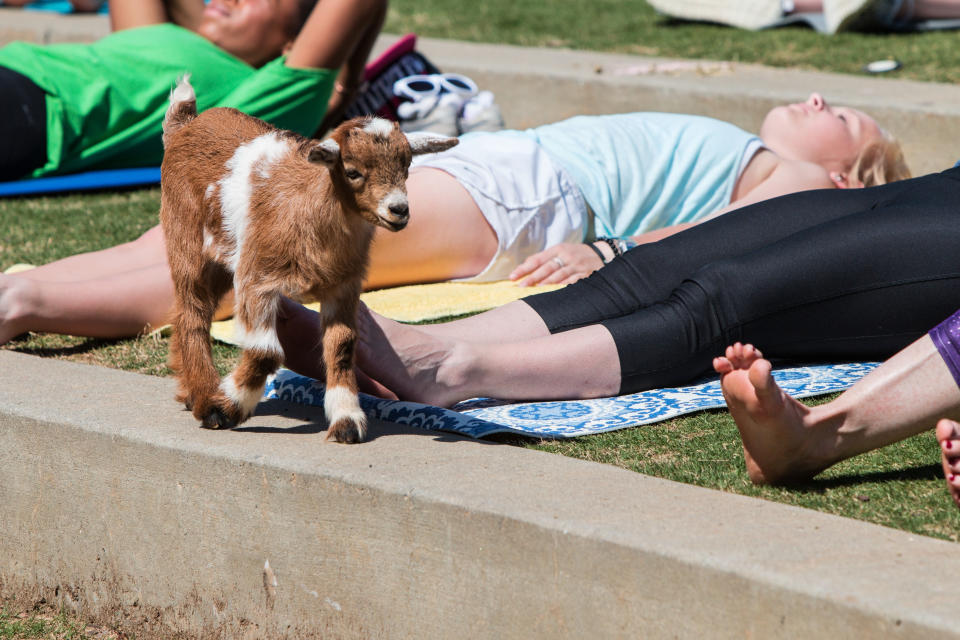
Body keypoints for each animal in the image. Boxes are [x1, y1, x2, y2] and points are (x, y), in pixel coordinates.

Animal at [158, 76, 458, 440]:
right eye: (353, 171)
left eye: (408, 166)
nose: (399, 209)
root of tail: (184, 124)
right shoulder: (257, 278)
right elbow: (265, 352)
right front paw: (226, 406)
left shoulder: (343, 288)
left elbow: (342, 347)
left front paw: (346, 420)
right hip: (187, 241)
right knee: (193, 313)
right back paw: (205, 398)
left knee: (183, 313)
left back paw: (190, 392)